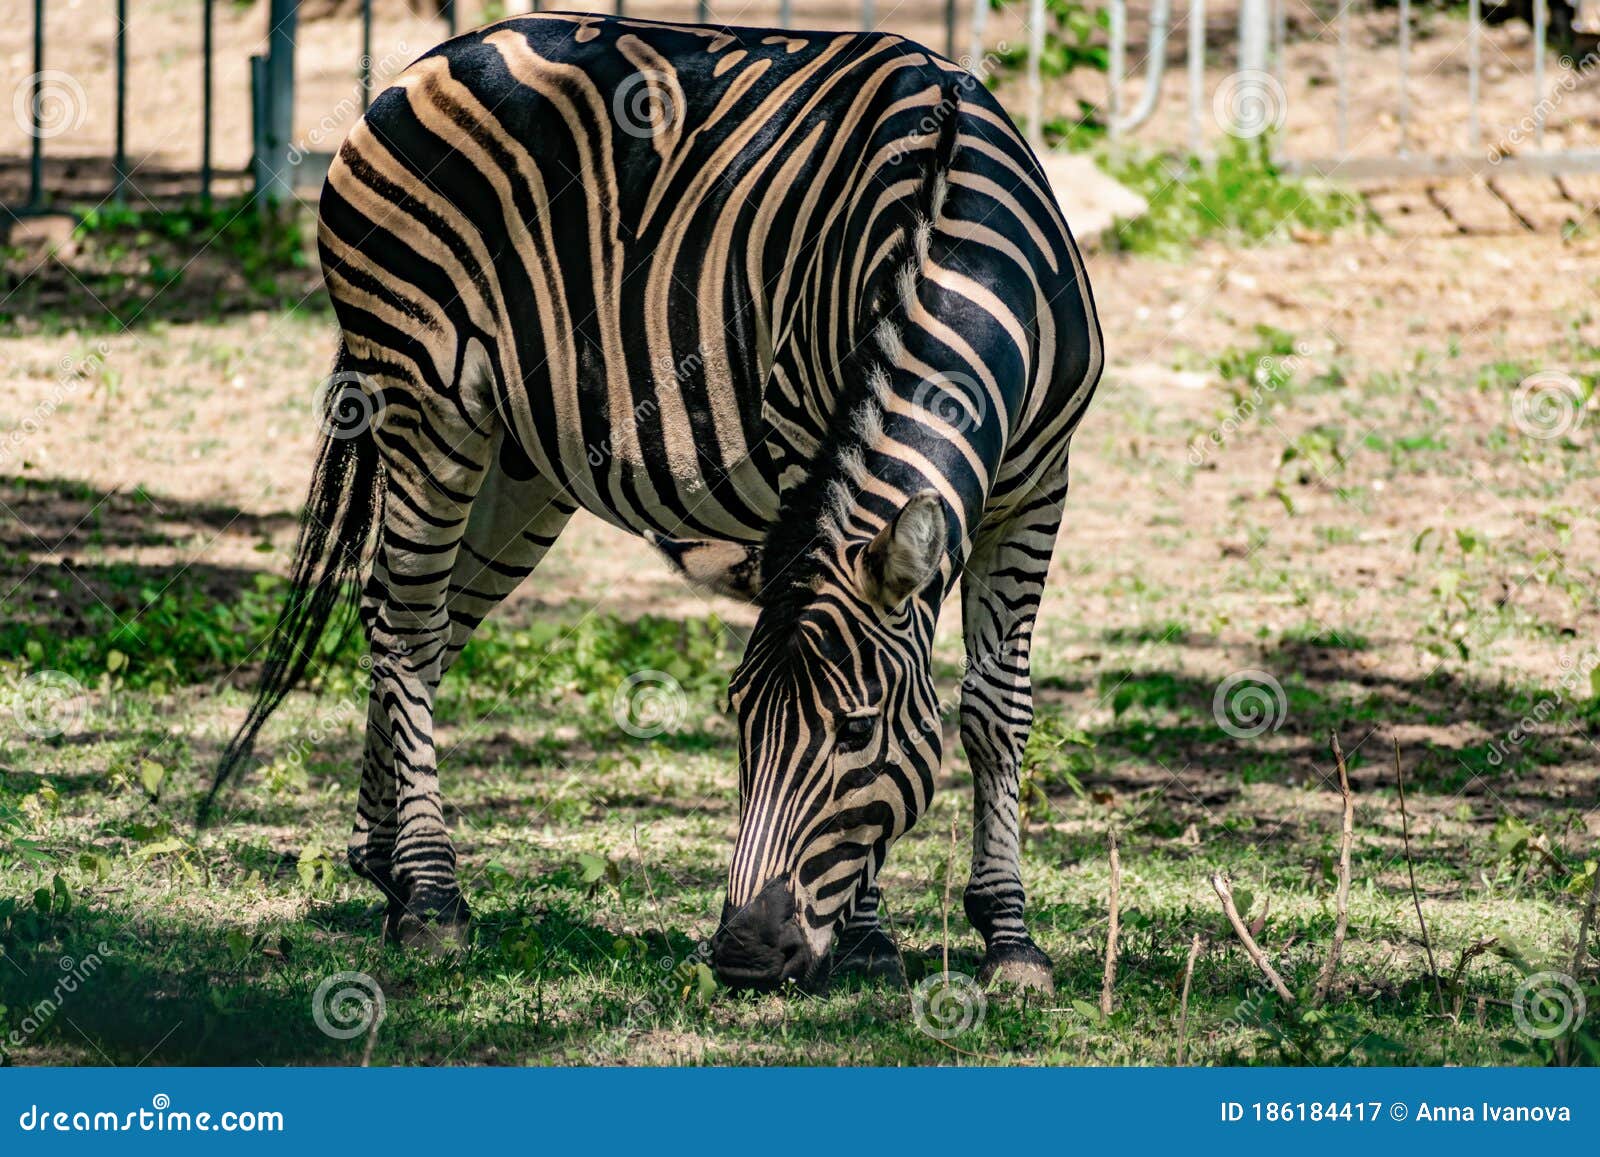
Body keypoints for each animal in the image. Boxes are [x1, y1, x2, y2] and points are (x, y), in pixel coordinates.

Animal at [203, 13, 1100, 998]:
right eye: (741, 718)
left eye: (859, 730)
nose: (745, 952)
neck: (950, 238)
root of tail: (429, 60)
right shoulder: (806, 438)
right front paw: (872, 935)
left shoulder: (1040, 486)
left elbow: (995, 708)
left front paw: (1009, 937)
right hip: (422, 393)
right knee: (404, 620)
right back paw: (433, 896)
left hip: (520, 459)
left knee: (422, 618)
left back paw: (385, 863)